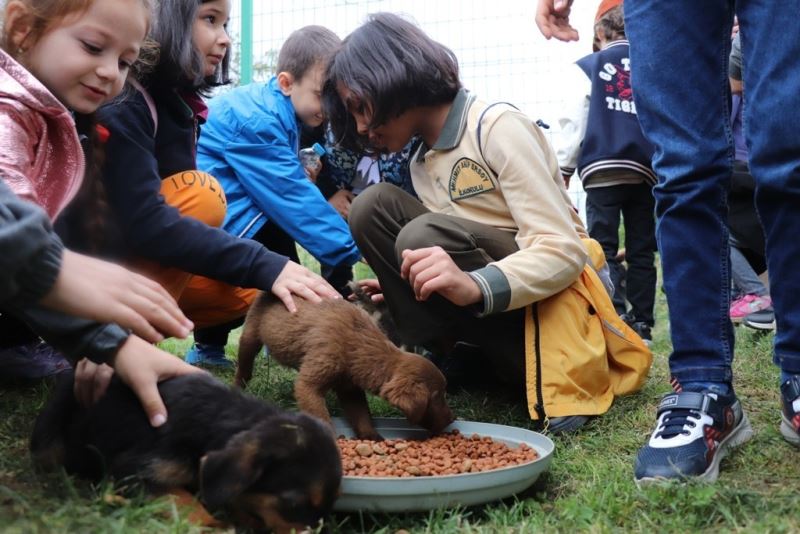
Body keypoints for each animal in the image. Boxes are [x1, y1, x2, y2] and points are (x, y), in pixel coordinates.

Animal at [234, 294, 454, 440]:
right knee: (244, 365)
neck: (357, 343)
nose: (452, 419)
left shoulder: (349, 387)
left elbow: (361, 414)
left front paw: (371, 436)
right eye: (437, 396)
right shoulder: (309, 384)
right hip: (250, 335)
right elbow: (320, 414)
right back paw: (238, 388)